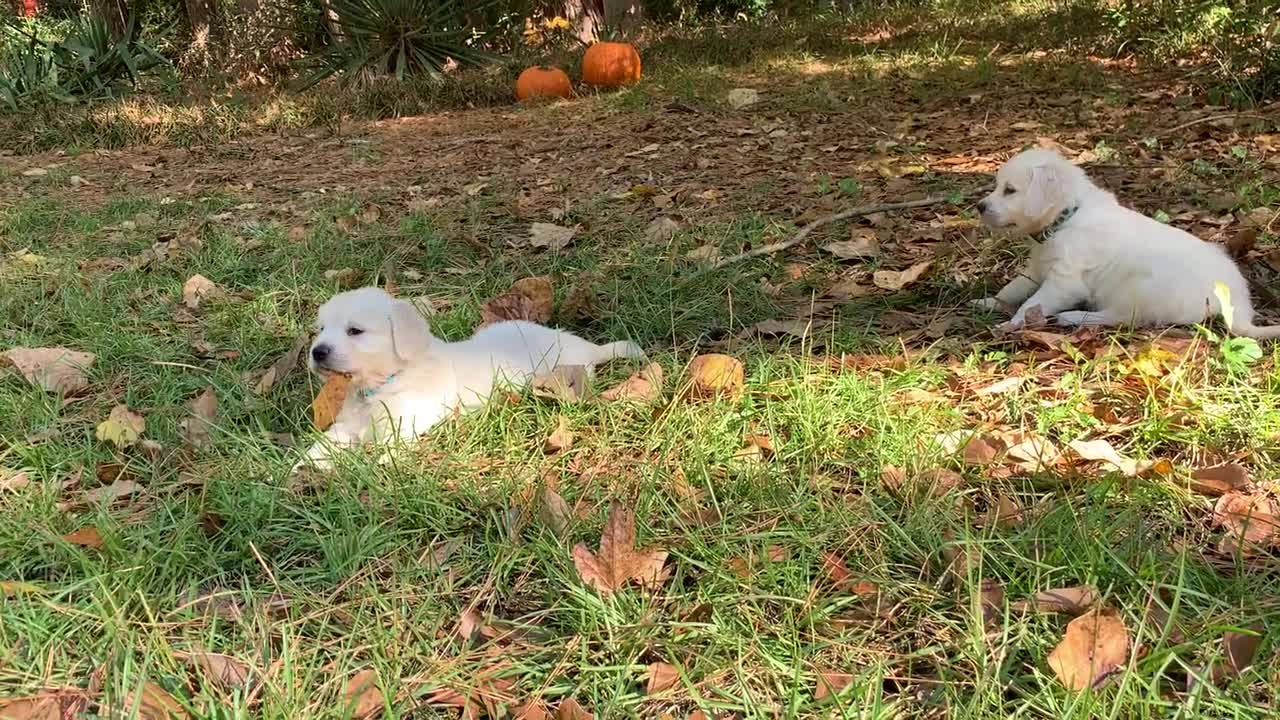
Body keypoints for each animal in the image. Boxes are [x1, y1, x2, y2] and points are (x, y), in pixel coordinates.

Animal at [295, 285, 645, 471]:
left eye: (355, 331)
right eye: (321, 328)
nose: (318, 352)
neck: (380, 385)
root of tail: (586, 348)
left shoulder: (406, 425)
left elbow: (388, 452)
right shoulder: (346, 425)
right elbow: (324, 444)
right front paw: (298, 467)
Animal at [972, 147, 1274, 335]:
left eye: (1010, 190)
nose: (979, 206)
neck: (1066, 218)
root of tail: (1236, 302)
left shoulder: (1064, 281)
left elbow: (1031, 303)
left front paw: (1011, 324)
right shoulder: (1036, 268)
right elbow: (1013, 288)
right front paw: (989, 302)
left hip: (1138, 290)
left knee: (1121, 318)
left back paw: (1073, 317)